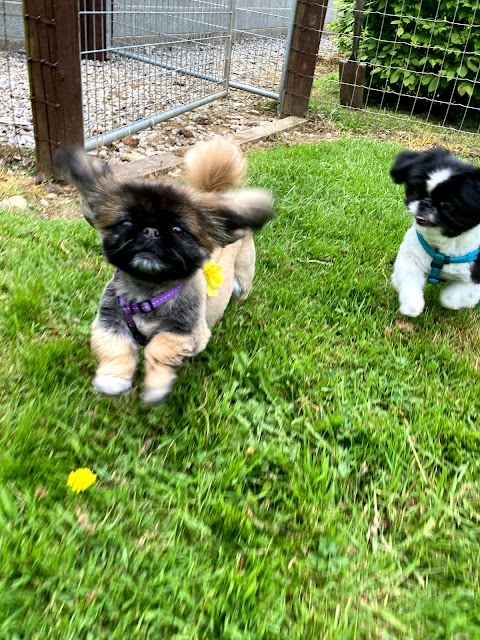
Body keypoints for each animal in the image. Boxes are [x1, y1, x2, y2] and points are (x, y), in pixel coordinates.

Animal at [55, 138, 274, 402]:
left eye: (178, 231)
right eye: (125, 223)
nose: (150, 231)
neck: (147, 295)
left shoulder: (188, 333)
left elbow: (159, 347)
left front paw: (157, 385)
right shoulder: (109, 322)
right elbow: (115, 349)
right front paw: (113, 379)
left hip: (243, 276)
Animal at [390, 146, 480, 316]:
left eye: (447, 205)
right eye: (417, 191)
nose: (425, 203)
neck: (443, 247)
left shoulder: (475, 278)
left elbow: (450, 298)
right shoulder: (411, 257)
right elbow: (408, 280)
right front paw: (411, 305)